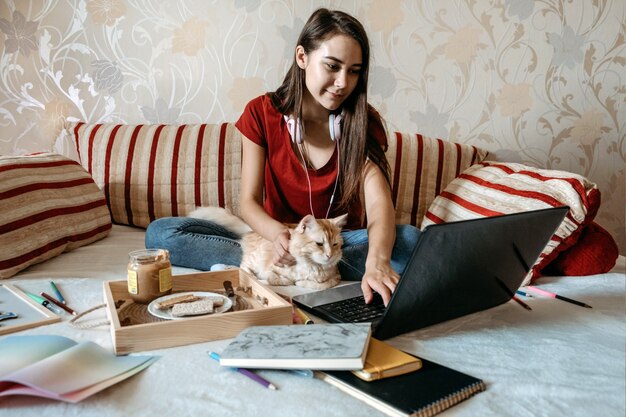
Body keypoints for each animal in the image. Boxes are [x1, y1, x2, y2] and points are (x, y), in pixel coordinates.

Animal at [190, 206, 346, 290]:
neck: (310, 266)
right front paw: (291, 281)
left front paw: (301, 282)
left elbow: (321, 285)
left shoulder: (336, 277)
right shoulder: (269, 268)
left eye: (334, 244)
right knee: (244, 267)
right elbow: (275, 279)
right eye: (319, 244)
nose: (329, 255)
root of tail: (251, 230)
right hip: (254, 259)